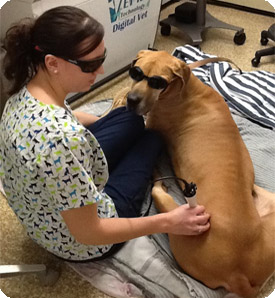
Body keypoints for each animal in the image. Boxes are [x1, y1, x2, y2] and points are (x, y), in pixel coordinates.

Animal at [123, 50, 275, 296]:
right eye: (136, 72)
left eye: (157, 82)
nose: (132, 99)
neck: (184, 89)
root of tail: (238, 274)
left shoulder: (149, 126)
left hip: (178, 220)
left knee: (159, 193)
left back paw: (157, 178)